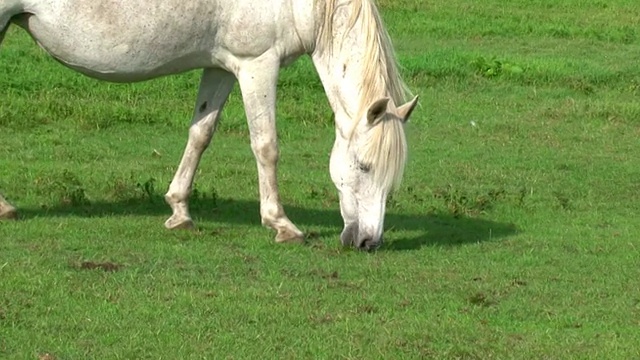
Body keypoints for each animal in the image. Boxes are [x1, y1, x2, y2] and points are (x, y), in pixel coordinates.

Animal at [0, 0, 418, 250]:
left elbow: (200, 134)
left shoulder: (222, 68)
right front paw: (281, 224)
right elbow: (266, 145)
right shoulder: (257, 64)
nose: (368, 242)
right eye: (364, 166)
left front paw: (179, 211)